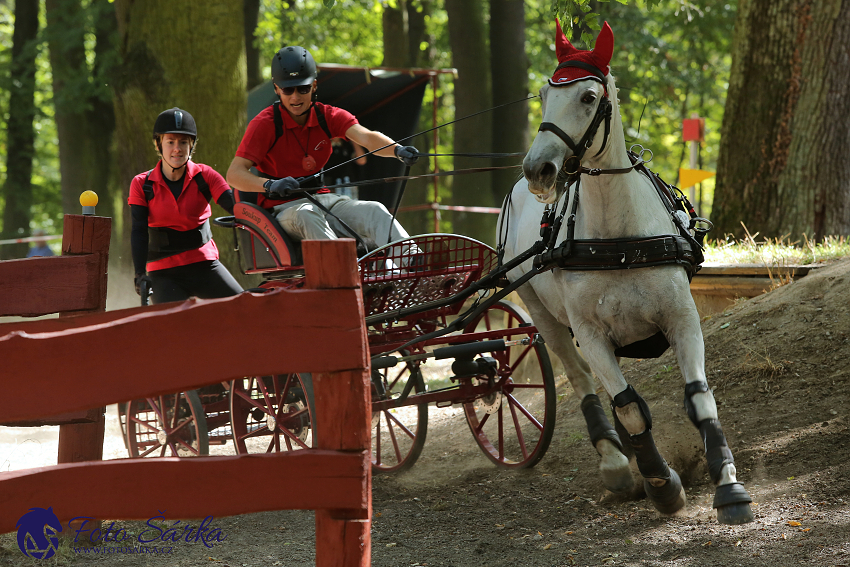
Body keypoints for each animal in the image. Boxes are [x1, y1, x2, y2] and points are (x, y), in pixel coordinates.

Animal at [500, 22, 752, 528]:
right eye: (544, 94)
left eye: (588, 96)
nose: (539, 169)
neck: (618, 243)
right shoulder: (591, 333)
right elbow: (631, 408)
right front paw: (662, 483)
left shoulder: (681, 319)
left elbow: (699, 397)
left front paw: (728, 485)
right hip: (543, 315)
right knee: (581, 379)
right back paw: (617, 463)